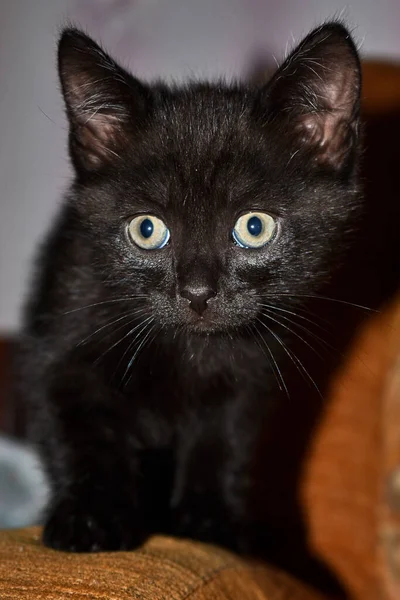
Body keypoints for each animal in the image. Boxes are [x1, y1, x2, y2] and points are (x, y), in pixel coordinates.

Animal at [18, 22, 362, 592]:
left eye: (254, 226)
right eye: (147, 229)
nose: (198, 292)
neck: (184, 347)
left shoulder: (249, 372)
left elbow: (222, 442)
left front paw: (209, 523)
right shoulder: (63, 329)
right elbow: (76, 428)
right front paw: (90, 518)